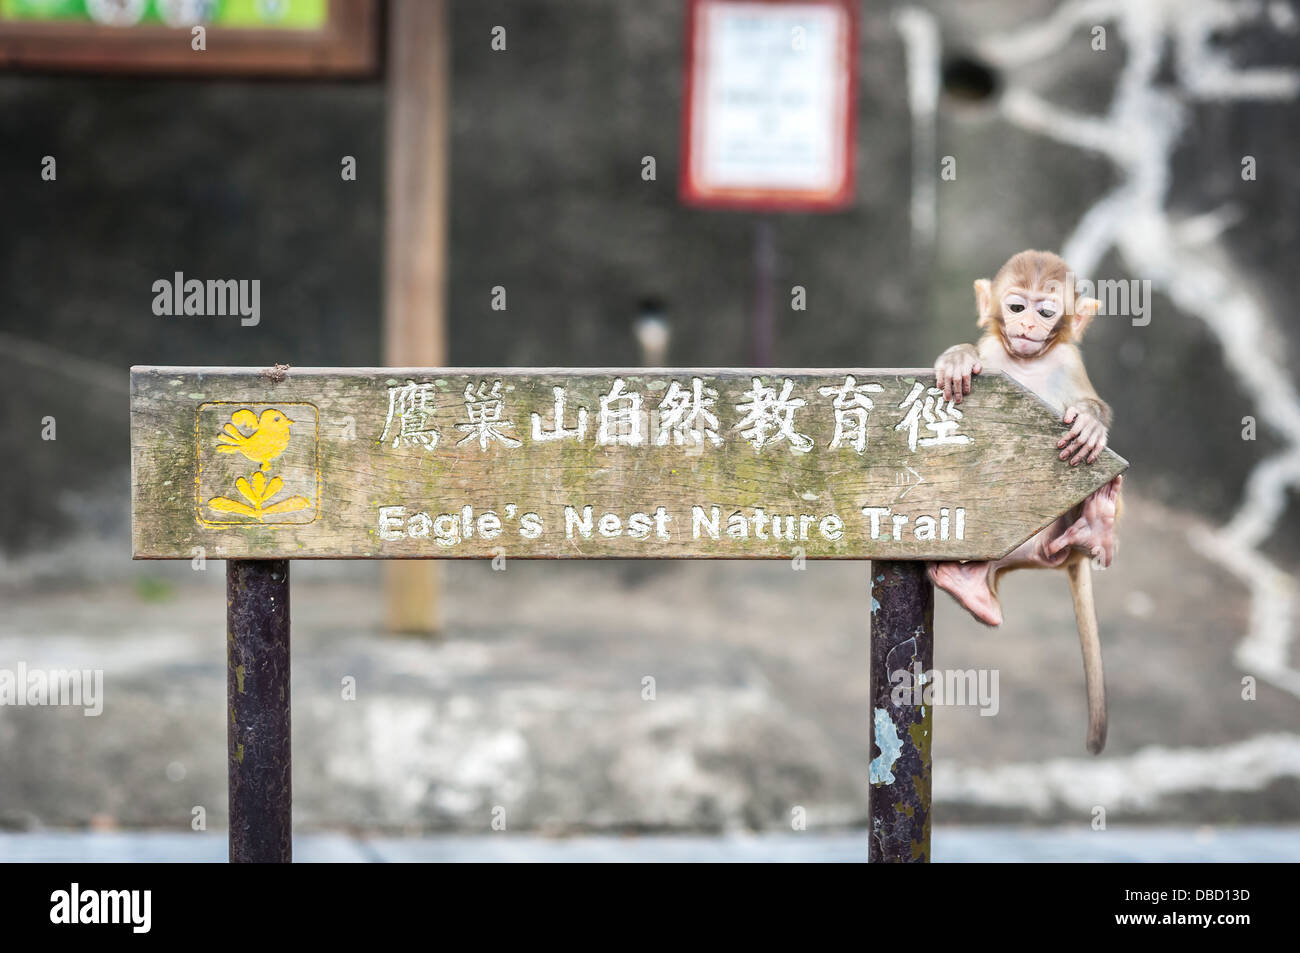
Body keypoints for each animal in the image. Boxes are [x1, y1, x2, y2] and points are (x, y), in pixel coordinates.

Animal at [930, 249, 1123, 754]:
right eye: (1017, 307)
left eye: (1047, 311)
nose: (1030, 325)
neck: (1026, 364)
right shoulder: (995, 352)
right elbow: (974, 356)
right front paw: (958, 358)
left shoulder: (1069, 361)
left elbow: (1091, 403)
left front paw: (1090, 420)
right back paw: (972, 586)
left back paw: (1098, 520)